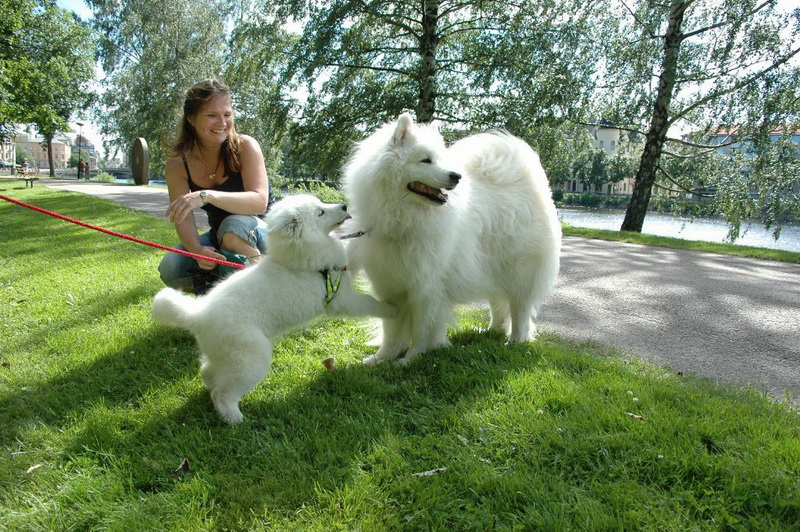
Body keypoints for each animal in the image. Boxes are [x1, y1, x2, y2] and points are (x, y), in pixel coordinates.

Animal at [152, 194, 397, 424]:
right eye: (320, 212)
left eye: (321, 204)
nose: (345, 206)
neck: (299, 259)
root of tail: (197, 316)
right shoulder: (341, 298)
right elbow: (368, 302)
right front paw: (392, 309)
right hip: (251, 357)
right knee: (223, 393)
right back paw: (234, 419)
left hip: (226, 355)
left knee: (208, 371)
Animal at [343, 113, 561, 366]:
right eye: (426, 160)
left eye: (441, 159)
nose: (456, 176)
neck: (404, 219)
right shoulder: (391, 286)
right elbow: (392, 330)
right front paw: (381, 359)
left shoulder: (426, 289)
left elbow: (421, 330)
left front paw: (411, 358)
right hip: (490, 267)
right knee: (498, 304)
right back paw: (491, 331)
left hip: (520, 272)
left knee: (520, 310)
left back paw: (515, 341)